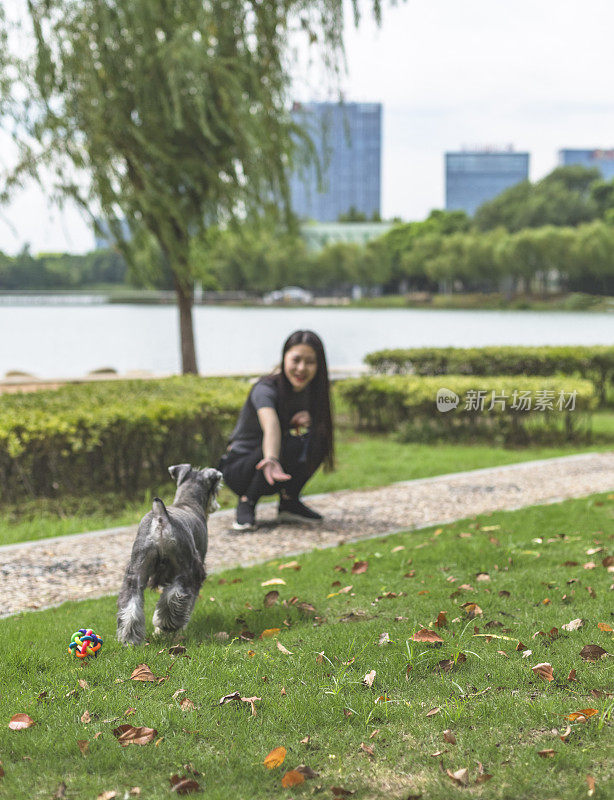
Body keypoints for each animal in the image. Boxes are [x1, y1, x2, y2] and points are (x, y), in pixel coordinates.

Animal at [116, 462, 223, 644]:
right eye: (215, 488)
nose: (215, 506)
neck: (187, 502)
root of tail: (161, 517)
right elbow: (189, 603)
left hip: (136, 570)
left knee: (130, 601)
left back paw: (130, 638)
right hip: (187, 570)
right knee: (174, 596)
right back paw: (167, 624)